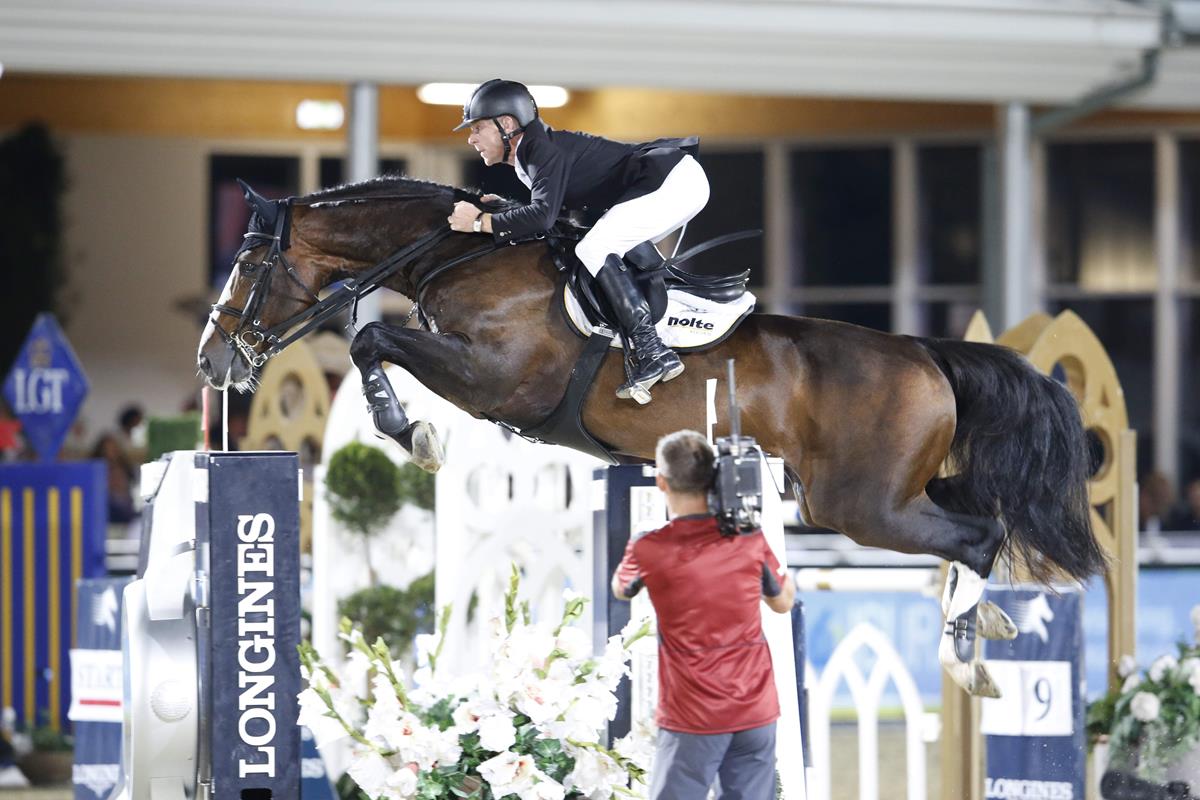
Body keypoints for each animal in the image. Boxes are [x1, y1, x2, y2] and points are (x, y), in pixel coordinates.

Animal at [196, 173, 1104, 695]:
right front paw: (410, 428)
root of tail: (926, 352)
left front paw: (410, 431)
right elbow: (374, 341)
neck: (461, 252)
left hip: (863, 506)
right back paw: (988, 628)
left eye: (246, 268)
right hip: (891, 492)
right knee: (979, 519)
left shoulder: (496, 380)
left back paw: (964, 654)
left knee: (978, 534)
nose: (212, 362)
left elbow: (371, 339)